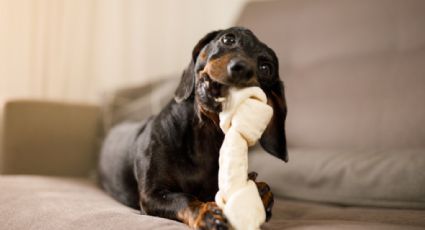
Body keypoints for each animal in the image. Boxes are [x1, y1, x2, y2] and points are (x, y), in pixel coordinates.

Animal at [97, 26, 286, 229]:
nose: (241, 69)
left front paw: (260, 192)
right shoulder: (152, 194)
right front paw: (207, 213)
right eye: (228, 39)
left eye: (266, 68)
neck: (204, 136)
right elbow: (184, 198)